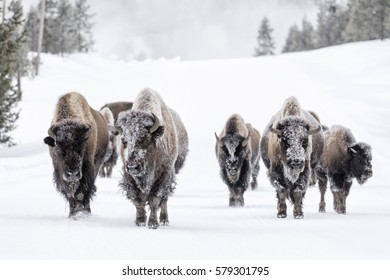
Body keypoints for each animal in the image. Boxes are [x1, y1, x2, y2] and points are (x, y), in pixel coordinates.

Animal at [116, 88, 189, 229]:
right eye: (123, 140)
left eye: (144, 138)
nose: (133, 166)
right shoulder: (129, 177)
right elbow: (138, 199)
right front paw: (140, 221)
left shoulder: (164, 174)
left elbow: (155, 198)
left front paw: (153, 223)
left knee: (164, 199)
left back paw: (164, 220)